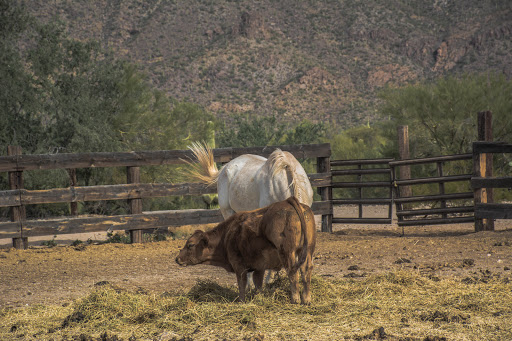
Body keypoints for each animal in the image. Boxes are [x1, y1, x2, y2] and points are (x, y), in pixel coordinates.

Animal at [178, 195, 318, 304]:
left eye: (190, 244)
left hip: (288, 253)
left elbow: (242, 284)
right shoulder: (259, 268)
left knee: (292, 271)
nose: (177, 259)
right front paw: (258, 298)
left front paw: (241, 301)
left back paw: (295, 299)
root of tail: (288, 201)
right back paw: (306, 299)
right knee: (306, 270)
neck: (228, 235)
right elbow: (258, 284)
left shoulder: (239, 267)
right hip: (307, 251)